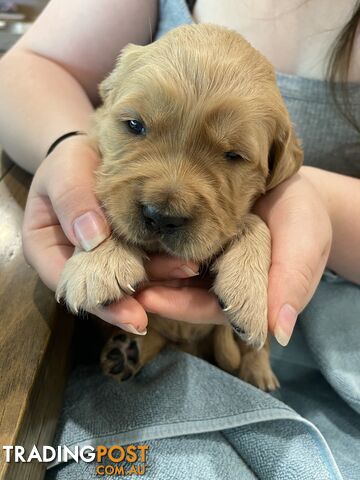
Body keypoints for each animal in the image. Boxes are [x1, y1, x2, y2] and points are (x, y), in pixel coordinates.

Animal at [57, 24, 304, 390]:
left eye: (233, 156)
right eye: (134, 125)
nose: (160, 218)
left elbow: (255, 221)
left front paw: (249, 294)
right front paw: (98, 262)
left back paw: (258, 372)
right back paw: (125, 352)